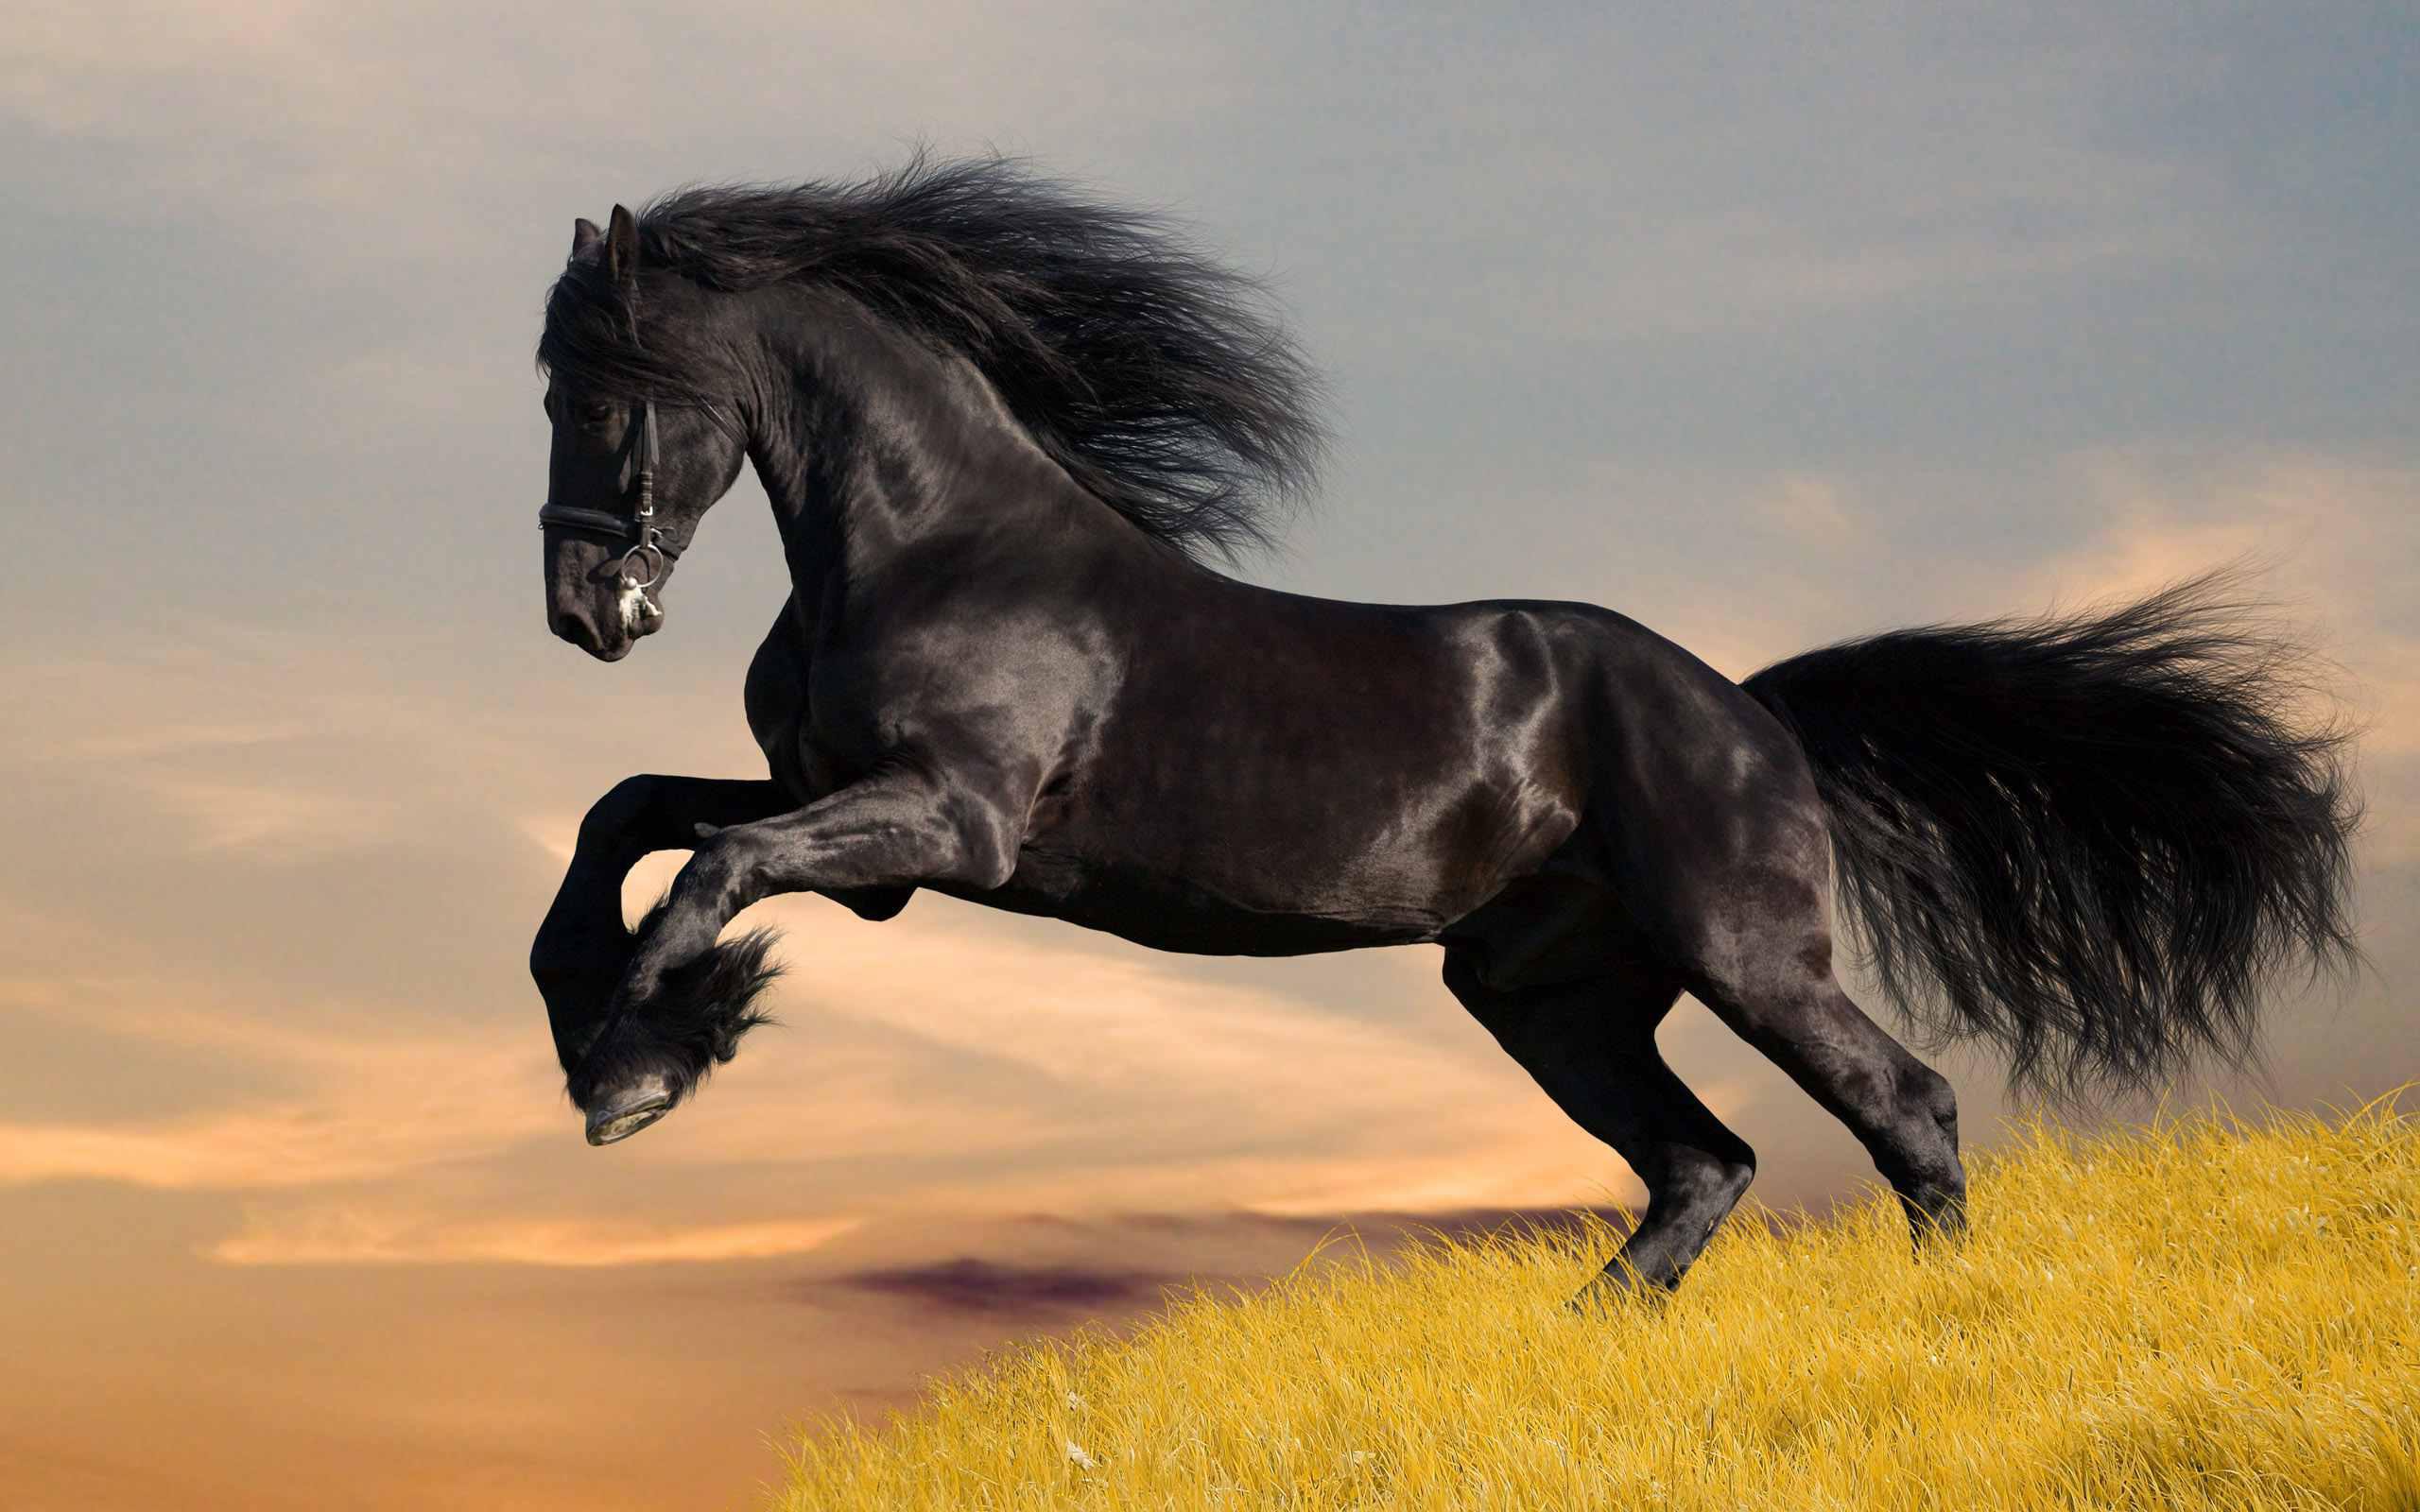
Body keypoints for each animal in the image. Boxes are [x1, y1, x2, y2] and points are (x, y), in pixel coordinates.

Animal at [528, 156, 2358, 1302]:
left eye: (602, 388)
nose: (582, 612)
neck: (934, 542)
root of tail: (1751, 712)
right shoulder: (856, 824)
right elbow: (630, 816)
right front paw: (613, 1032)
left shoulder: (946, 828)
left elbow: (710, 871)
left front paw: (641, 1066)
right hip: (1549, 993)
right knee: (1702, 1163)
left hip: (1744, 952)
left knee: (1903, 1108)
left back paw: (1934, 1320)